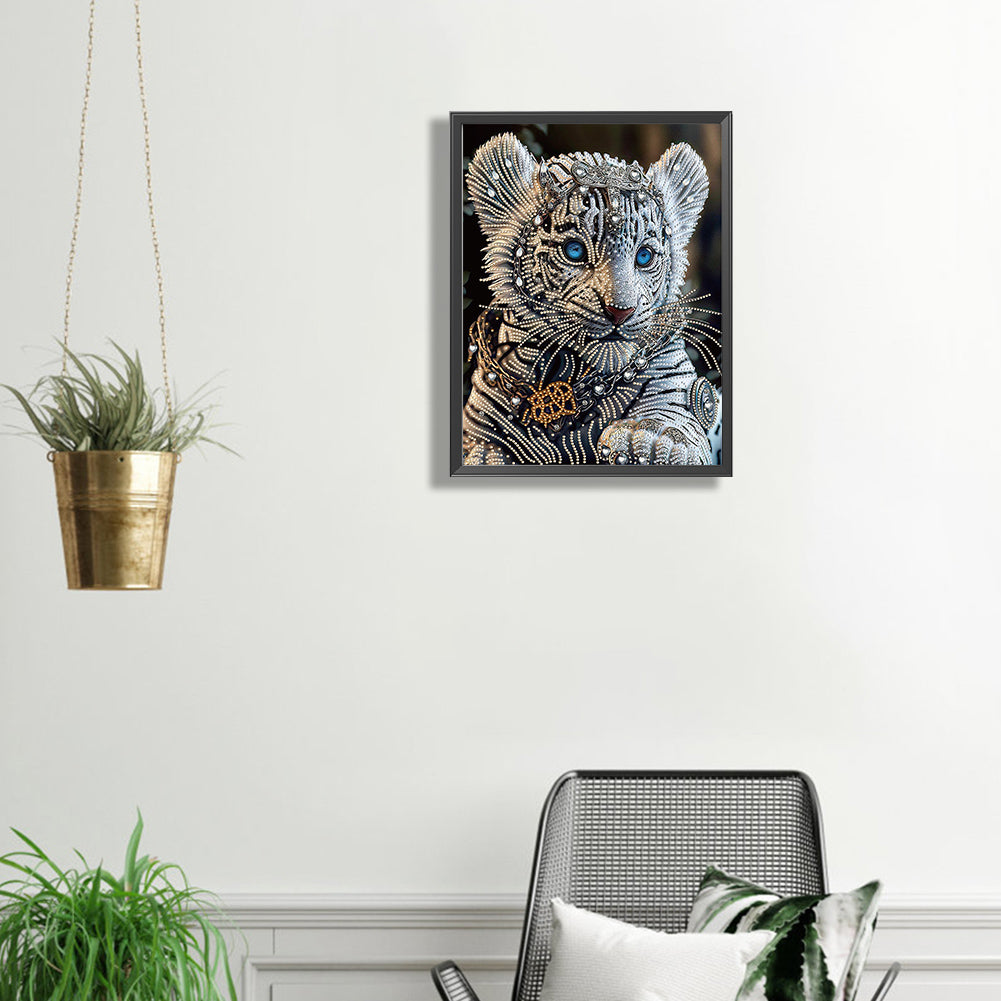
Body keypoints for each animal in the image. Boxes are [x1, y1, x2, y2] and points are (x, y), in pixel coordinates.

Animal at [461, 132, 720, 466]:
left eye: (644, 256)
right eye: (574, 250)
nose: (620, 312)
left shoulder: (674, 389)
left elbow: (672, 420)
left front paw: (649, 440)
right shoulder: (481, 430)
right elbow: (485, 452)